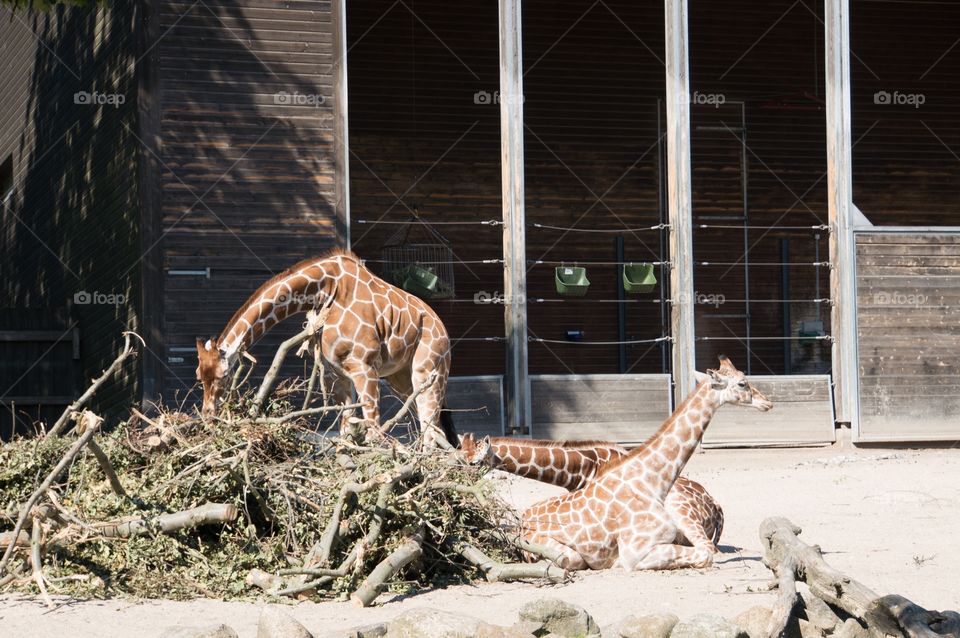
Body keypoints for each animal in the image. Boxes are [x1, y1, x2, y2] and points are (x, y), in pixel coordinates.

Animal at [194, 248, 458, 447]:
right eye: (199, 377)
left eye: (224, 375)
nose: (208, 415)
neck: (324, 290)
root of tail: (442, 329)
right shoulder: (336, 374)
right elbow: (345, 433)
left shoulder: (364, 367)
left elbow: (373, 433)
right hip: (400, 380)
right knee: (434, 429)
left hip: (428, 372)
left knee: (430, 431)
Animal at [520, 356, 772, 571]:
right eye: (742, 383)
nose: (768, 402)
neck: (652, 481)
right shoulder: (635, 553)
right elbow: (705, 554)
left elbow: (706, 552)